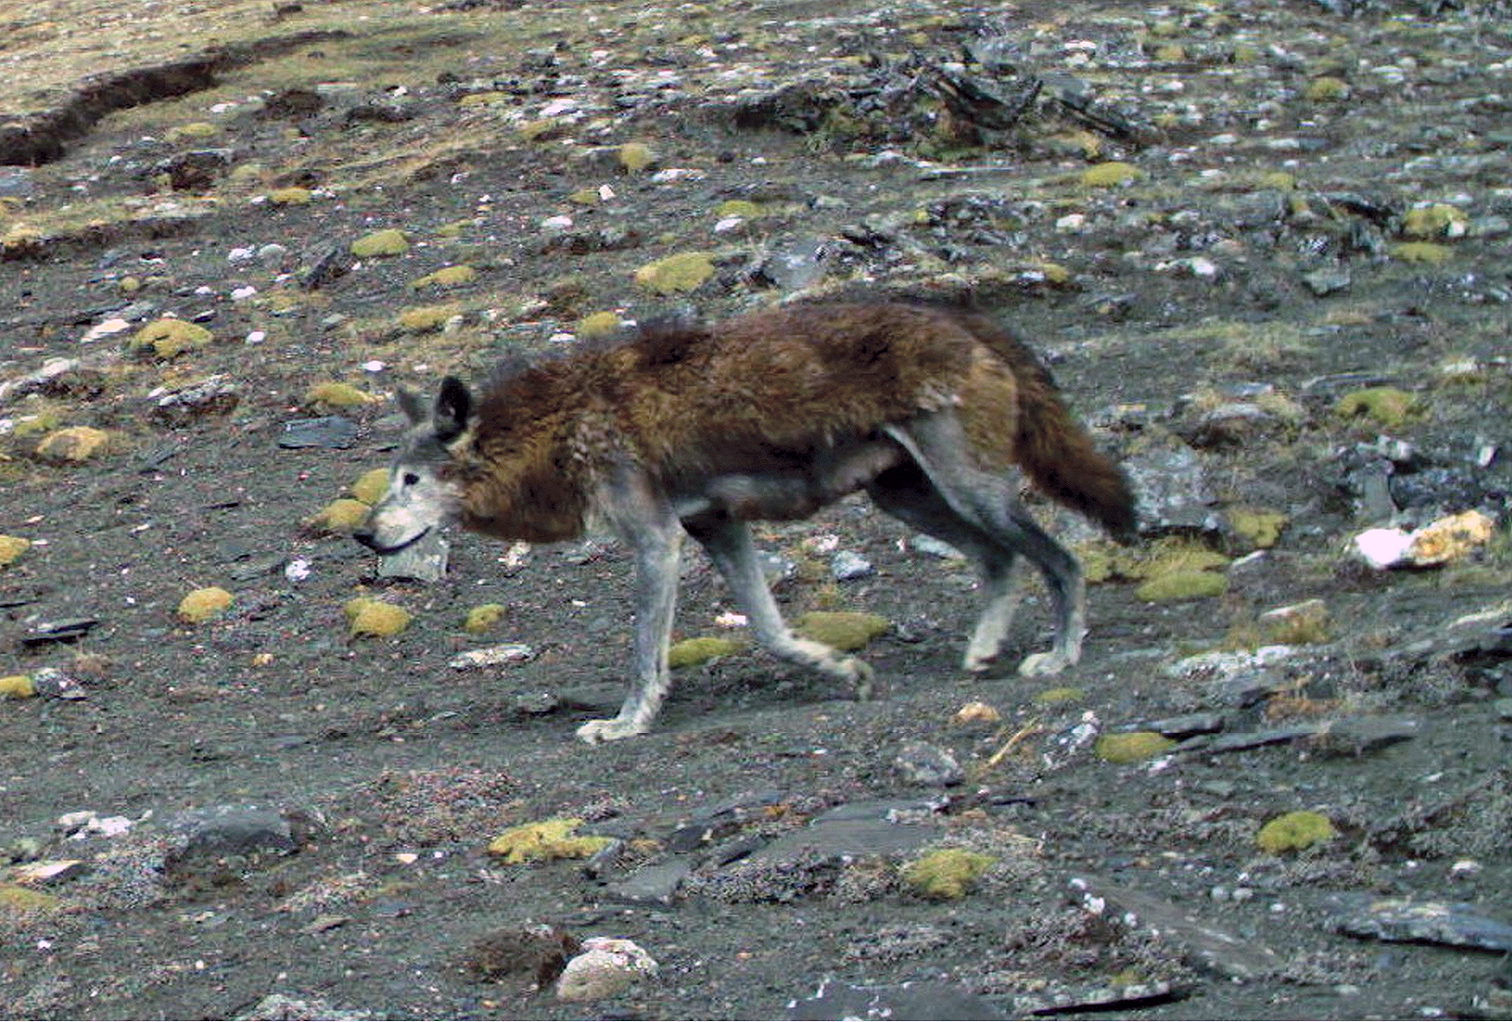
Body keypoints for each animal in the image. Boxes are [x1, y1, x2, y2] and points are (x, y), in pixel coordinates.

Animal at [353, 299, 1137, 737]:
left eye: (410, 480)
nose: (363, 533)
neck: (559, 426)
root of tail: (964, 317)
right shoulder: (717, 527)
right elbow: (769, 631)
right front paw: (843, 670)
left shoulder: (658, 542)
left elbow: (644, 654)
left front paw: (626, 724)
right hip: (907, 497)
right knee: (1001, 559)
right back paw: (981, 652)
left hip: (968, 490)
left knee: (1062, 558)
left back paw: (1060, 655)